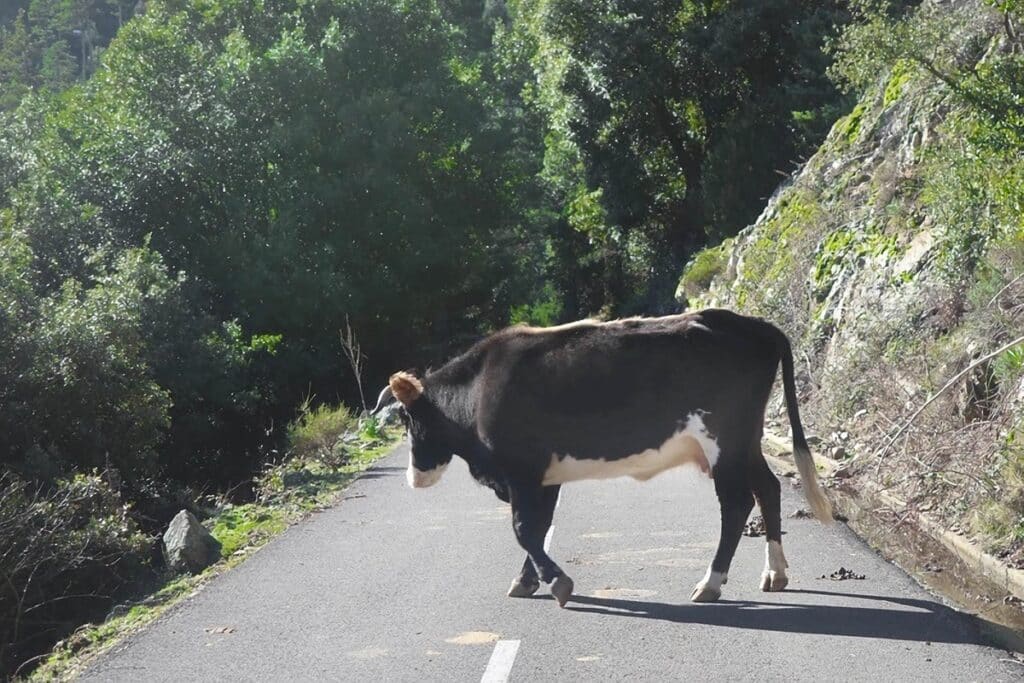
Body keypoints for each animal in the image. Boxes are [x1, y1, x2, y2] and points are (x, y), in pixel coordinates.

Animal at [372, 307, 827, 606]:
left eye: (408, 421)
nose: (414, 476)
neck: (479, 389)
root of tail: (754, 325)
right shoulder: (545, 475)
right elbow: (539, 527)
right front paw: (528, 580)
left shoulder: (522, 472)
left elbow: (524, 529)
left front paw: (557, 583)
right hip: (745, 442)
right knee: (768, 488)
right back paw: (775, 572)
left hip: (724, 442)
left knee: (736, 504)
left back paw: (711, 583)